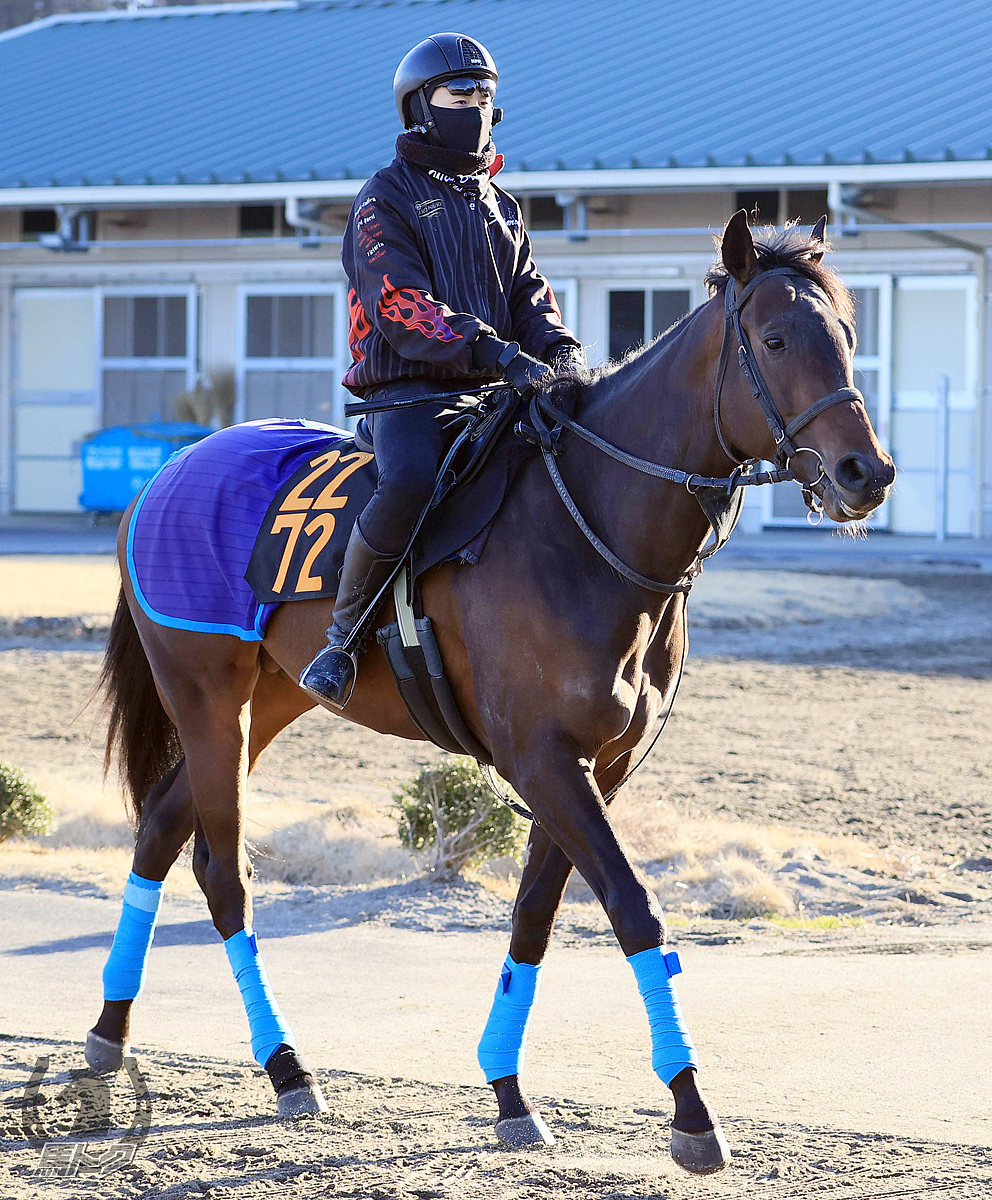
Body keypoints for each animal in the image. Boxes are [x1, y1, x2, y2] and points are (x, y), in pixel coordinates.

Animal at [83, 211, 892, 1176]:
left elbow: (535, 915)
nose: (866, 472)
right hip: (206, 698)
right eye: (774, 340)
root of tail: (164, 476)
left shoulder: (597, 766)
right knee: (221, 872)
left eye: (846, 338)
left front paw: (508, 1091)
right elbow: (633, 909)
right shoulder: (542, 758)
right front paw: (692, 1109)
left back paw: (110, 1032)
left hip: (266, 702)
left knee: (162, 830)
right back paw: (285, 1067)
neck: (588, 524)